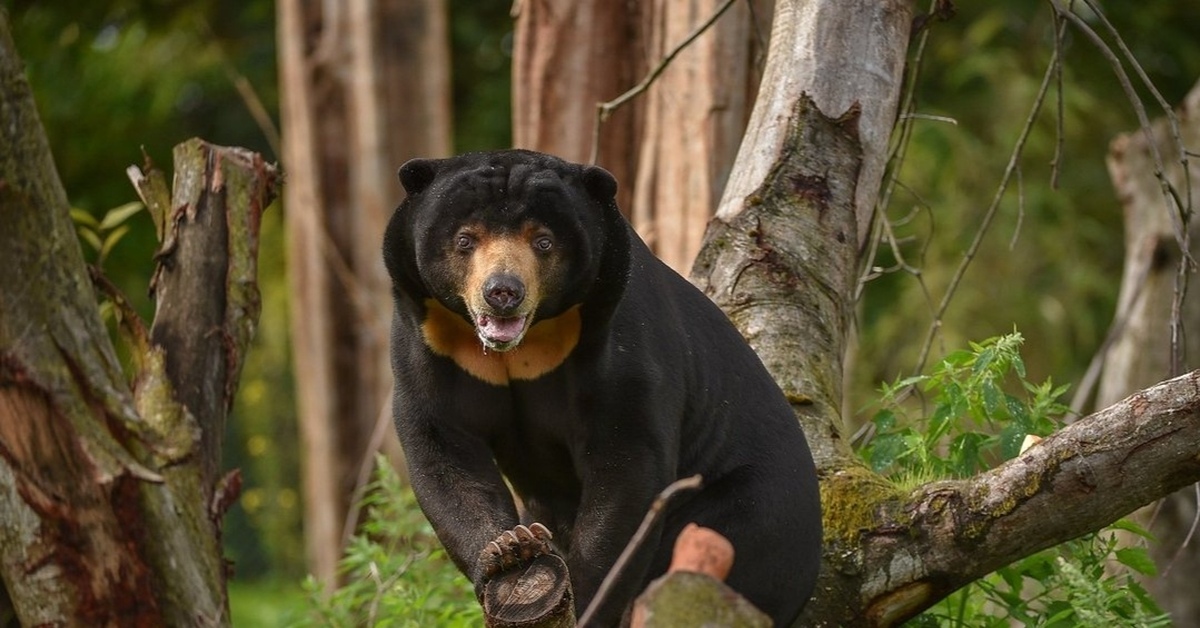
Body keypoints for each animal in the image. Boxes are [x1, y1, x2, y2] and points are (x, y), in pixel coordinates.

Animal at [384, 148, 825, 624]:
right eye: (466, 240)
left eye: (543, 242)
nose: (502, 292)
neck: (523, 346)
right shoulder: (428, 339)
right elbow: (445, 451)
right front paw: (508, 548)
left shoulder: (622, 338)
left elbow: (626, 463)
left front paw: (588, 595)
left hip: (752, 514)